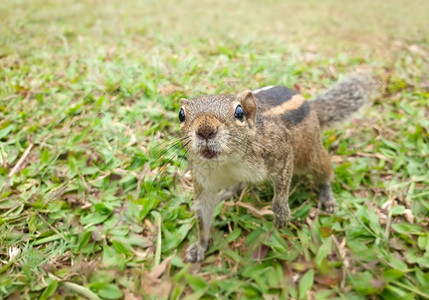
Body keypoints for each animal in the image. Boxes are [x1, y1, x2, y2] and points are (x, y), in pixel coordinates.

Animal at [179, 74, 370, 262]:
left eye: (239, 112)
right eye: (181, 114)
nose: (205, 131)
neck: (227, 162)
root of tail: (311, 106)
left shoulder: (281, 152)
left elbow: (281, 191)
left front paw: (281, 214)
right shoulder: (203, 182)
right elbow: (203, 215)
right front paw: (199, 246)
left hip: (313, 157)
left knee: (324, 173)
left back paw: (327, 197)